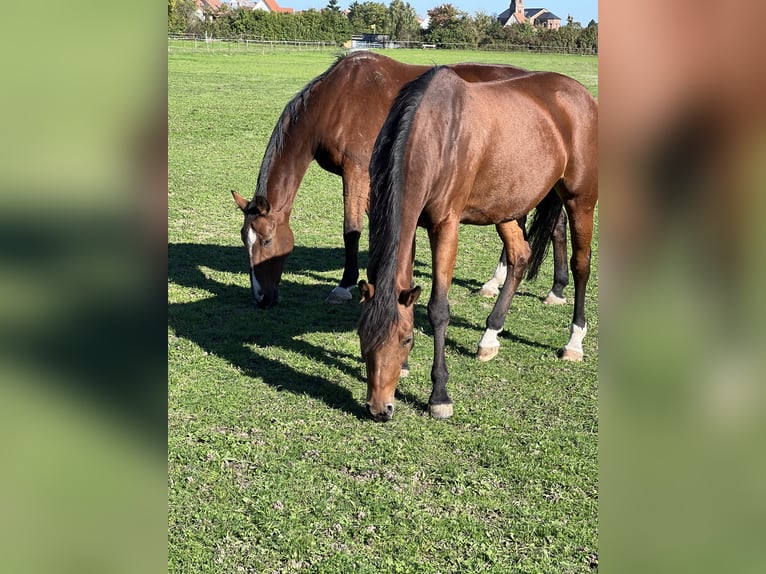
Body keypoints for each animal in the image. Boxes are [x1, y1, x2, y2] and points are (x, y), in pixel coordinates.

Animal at [228, 51, 568, 308]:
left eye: (267, 241)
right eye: (245, 240)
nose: (261, 298)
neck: (337, 100)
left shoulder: (356, 172)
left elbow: (351, 230)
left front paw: (345, 285)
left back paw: (544, 288)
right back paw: (513, 284)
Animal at [358, 67, 600, 424]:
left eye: (406, 339)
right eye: (362, 337)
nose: (379, 409)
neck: (435, 134)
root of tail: (580, 93)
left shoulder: (446, 227)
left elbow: (438, 309)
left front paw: (439, 396)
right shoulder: (412, 225)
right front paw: (405, 368)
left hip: (580, 199)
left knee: (581, 264)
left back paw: (574, 342)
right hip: (508, 206)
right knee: (519, 257)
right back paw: (490, 336)